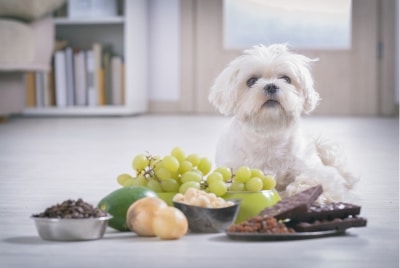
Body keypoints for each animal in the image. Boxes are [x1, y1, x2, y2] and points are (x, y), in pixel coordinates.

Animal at [209, 43, 360, 203]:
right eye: (251, 81)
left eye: (286, 79)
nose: (271, 86)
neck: (269, 132)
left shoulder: (314, 169)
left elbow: (317, 179)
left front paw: (305, 190)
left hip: (327, 148)